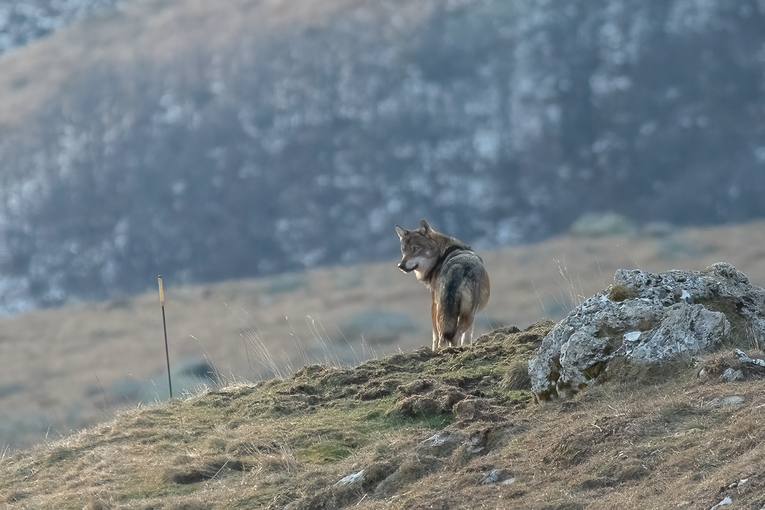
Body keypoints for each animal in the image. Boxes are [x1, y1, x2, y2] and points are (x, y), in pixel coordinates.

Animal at [395, 220, 490, 351]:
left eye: (415, 248)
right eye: (403, 250)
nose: (401, 265)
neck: (441, 254)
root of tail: (457, 268)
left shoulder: (433, 304)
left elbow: (436, 336)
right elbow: (466, 336)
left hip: (447, 312)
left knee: (446, 337)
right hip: (466, 315)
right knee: (454, 335)